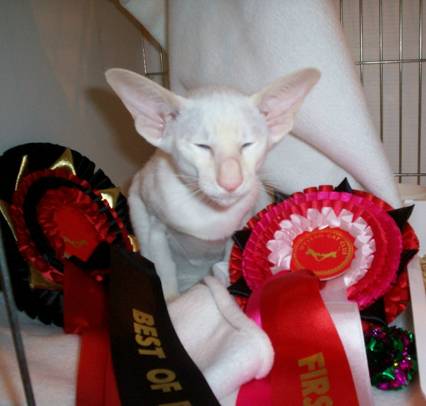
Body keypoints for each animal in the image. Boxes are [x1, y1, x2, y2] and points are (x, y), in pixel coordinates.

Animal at [106, 68, 320, 300]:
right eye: (202, 146)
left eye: (247, 145)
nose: (231, 182)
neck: (209, 212)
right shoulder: (154, 225)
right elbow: (164, 270)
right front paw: (172, 302)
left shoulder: (239, 228)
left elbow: (228, 261)